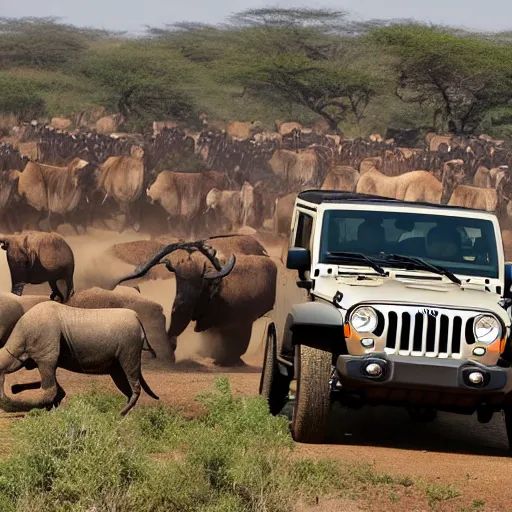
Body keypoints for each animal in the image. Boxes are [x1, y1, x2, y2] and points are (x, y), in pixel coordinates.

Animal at [0, 300, 158, 416]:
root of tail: (137, 318)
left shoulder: (45, 356)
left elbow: (50, 389)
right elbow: (56, 389)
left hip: (129, 345)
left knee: (131, 373)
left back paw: (120, 414)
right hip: (118, 360)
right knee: (122, 379)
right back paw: (125, 415)